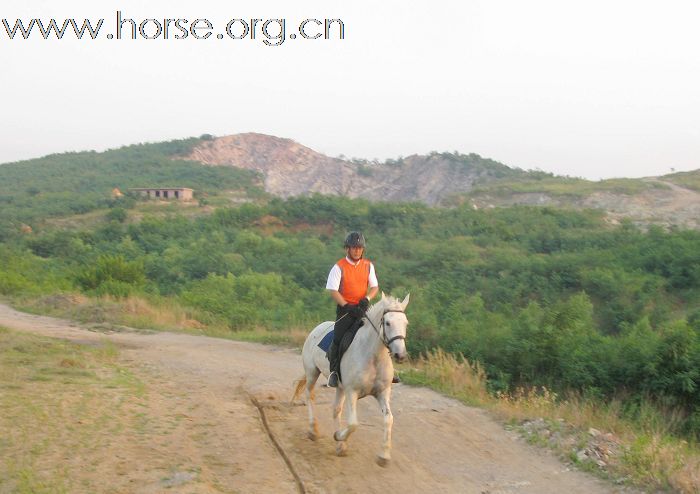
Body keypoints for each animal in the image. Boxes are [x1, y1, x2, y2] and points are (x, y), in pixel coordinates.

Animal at [292, 292, 410, 466]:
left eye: (406, 323)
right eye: (388, 323)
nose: (400, 355)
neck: (373, 357)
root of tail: (317, 328)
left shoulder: (382, 392)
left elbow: (389, 419)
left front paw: (384, 455)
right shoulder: (352, 392)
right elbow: (353, 423)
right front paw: (338, 436)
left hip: (339, 387)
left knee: (335, 410)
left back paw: (340, 446)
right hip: (312, 372)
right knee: (309, 396)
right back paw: (314, 430)